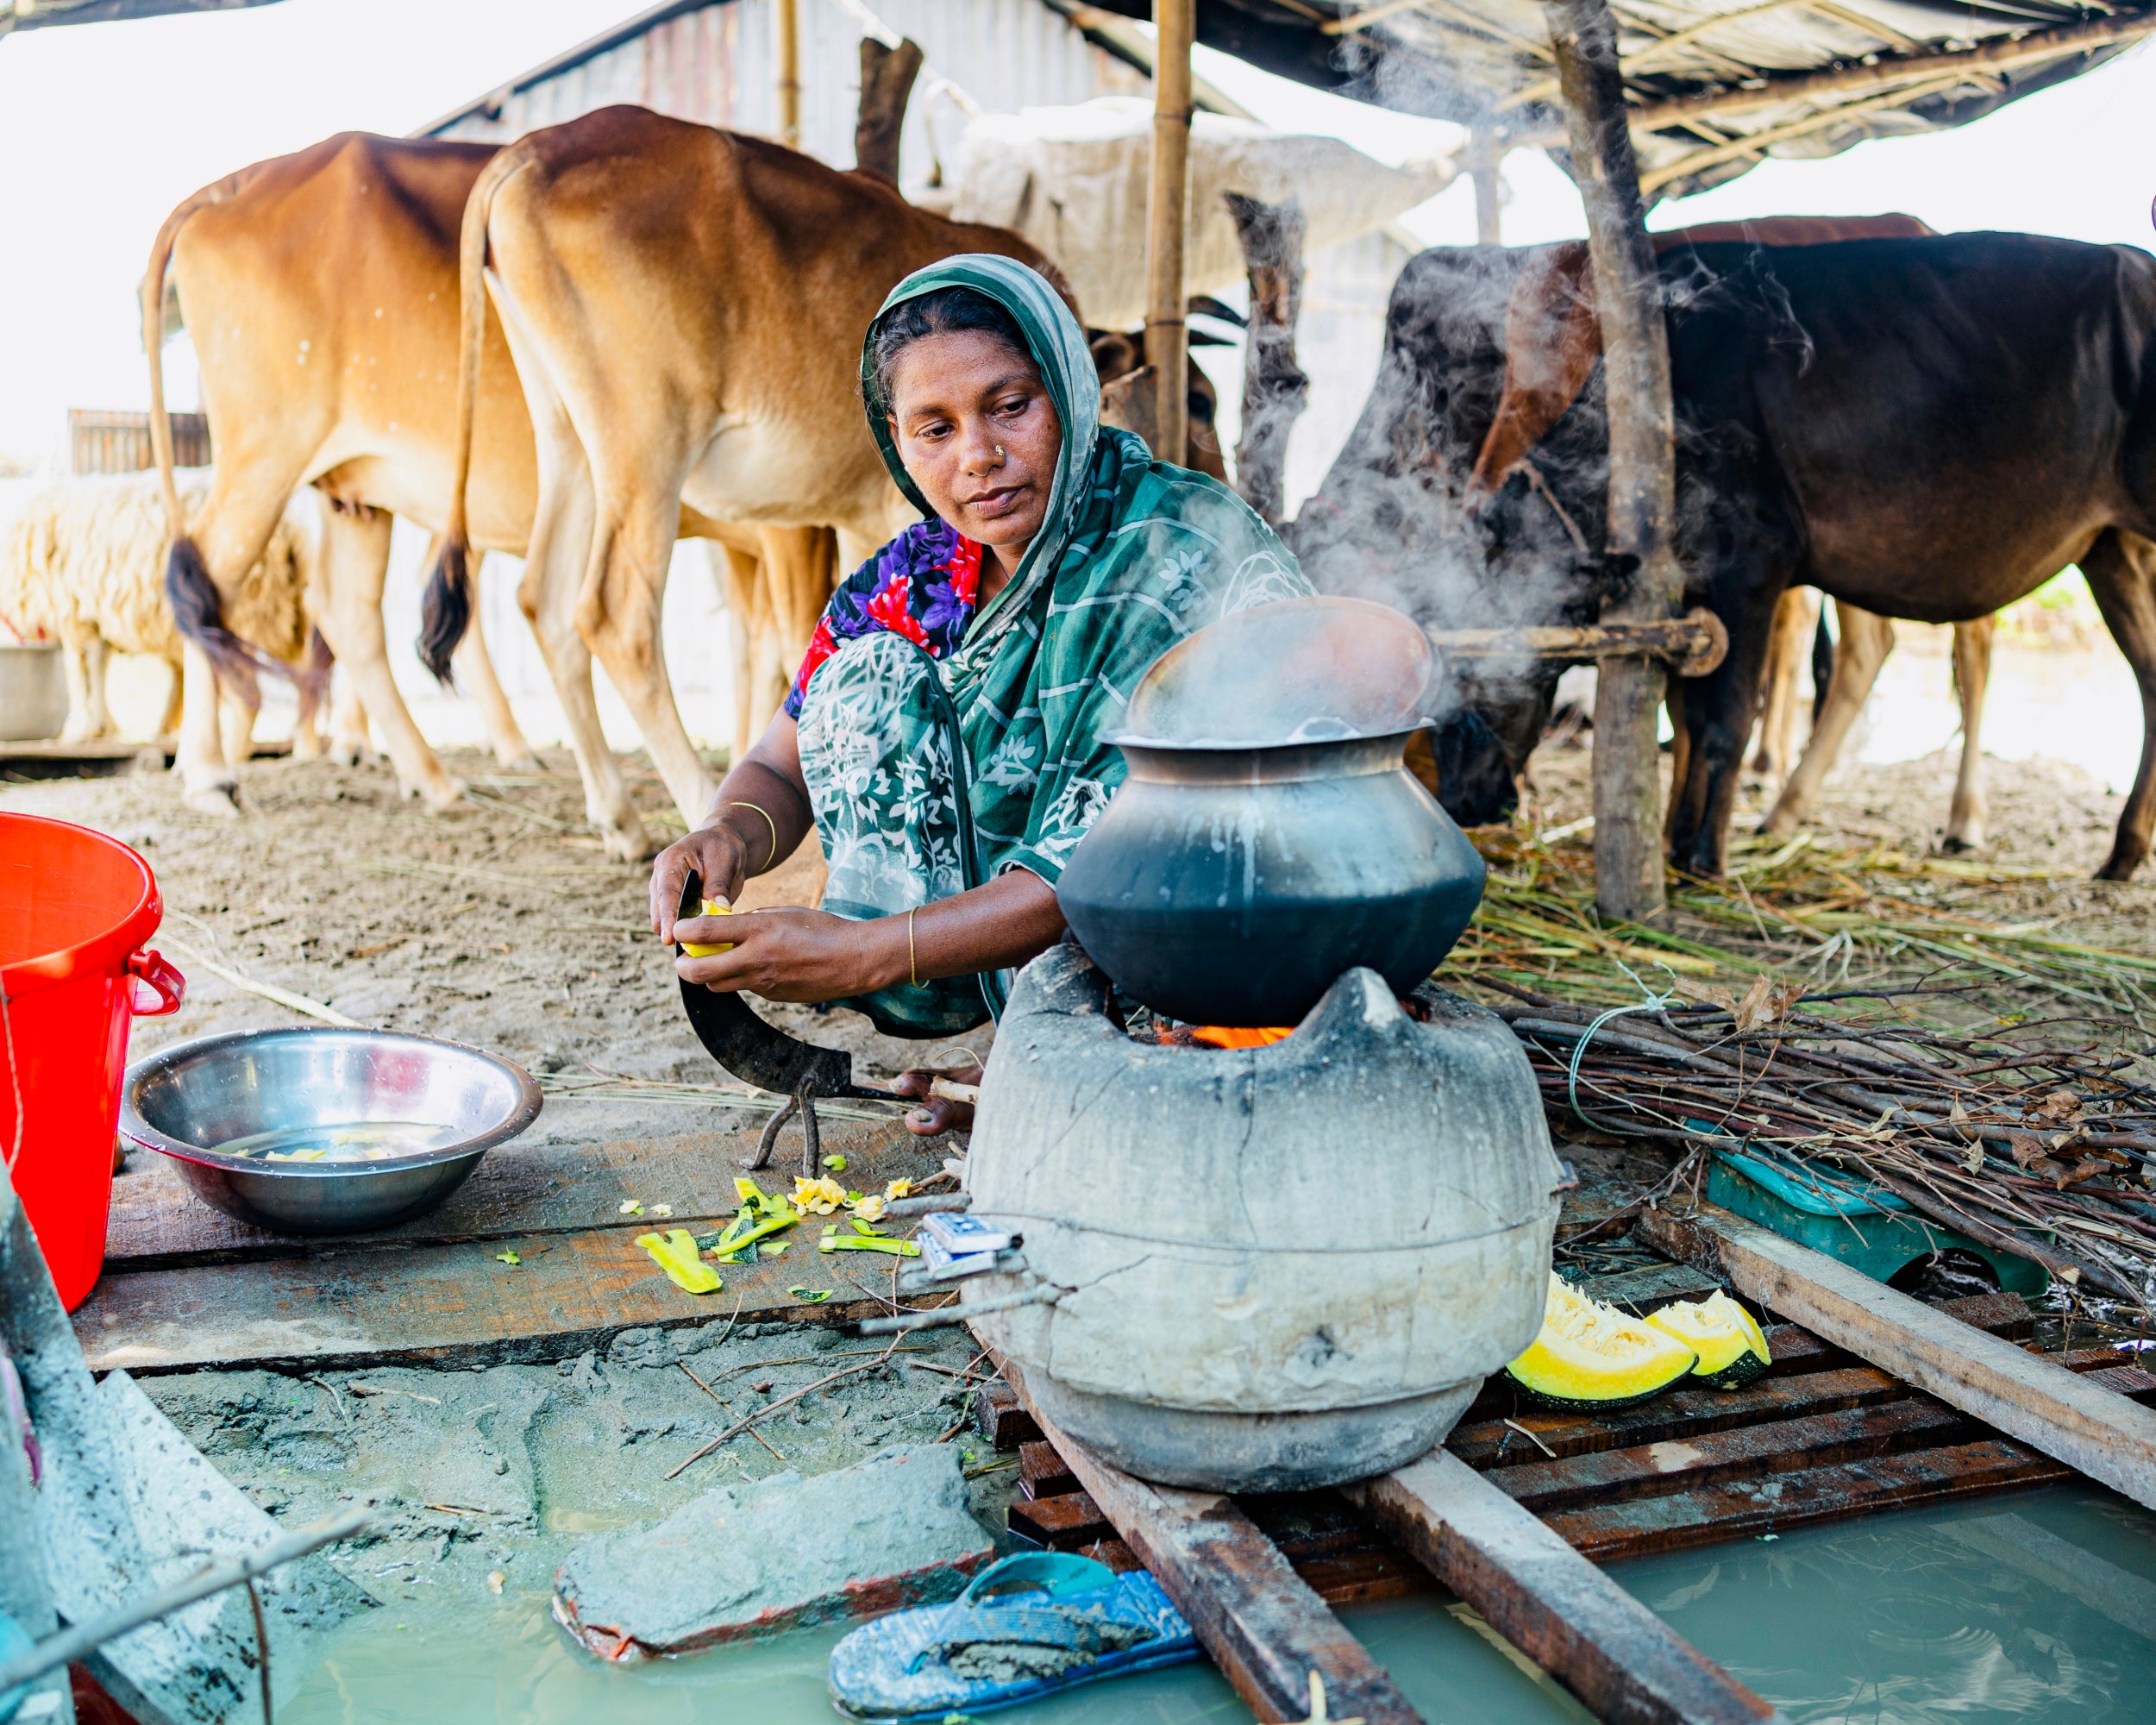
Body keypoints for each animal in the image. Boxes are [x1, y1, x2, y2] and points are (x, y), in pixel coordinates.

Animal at [0, 467, 336, 759]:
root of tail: (299, 527)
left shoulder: (69, 606)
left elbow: (77, 666)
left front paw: (81, 728)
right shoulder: (94, 611)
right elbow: (98, 664)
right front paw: (104, 726)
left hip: (249, 613)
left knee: (250, 695)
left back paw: (226, 758)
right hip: (291, 616)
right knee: (306, 682)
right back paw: (304, 753)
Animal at [433, 106, 1078, 854]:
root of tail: (529, 151)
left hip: (568, 437)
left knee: (545, 595)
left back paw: (619, 818)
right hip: (645, 434)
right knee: (614, 612)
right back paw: (691, 800)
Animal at [1294, 233, 2156, 875]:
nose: (1467, 802)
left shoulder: (1752, 563)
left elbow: (1725, 718)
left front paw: (1703, 857)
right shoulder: (1689, 588)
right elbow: (1683, 708)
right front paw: (1675, 836)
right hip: (2109, 548)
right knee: (2146, 672)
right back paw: (2122, 850)